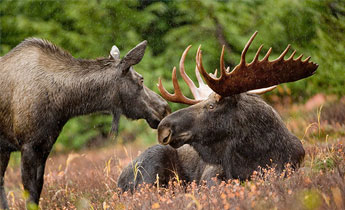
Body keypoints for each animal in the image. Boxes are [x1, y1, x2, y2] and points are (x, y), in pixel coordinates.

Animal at [0, 38, 169, 208]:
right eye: (141, 79)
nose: (164, 107)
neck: (63, 104)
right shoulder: (28, 146)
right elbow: (30, 193)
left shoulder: (44, 146)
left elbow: (37, 189)